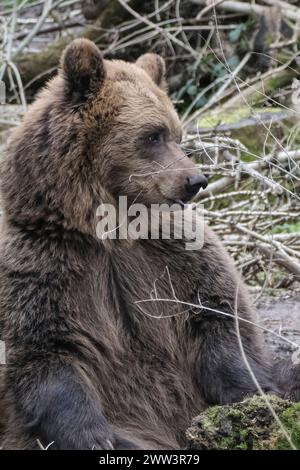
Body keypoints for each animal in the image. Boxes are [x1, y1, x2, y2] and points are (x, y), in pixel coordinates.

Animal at [0, 38, 298, 450]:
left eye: (177, 133)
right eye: (152, 135)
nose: (196, 180)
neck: (110, 228)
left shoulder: (174, 252)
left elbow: (219, 317)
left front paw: (258, 397)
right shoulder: (44, 258)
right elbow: (47, 347)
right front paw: (96, 437)